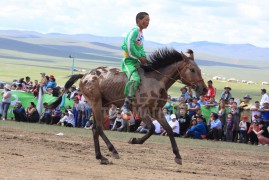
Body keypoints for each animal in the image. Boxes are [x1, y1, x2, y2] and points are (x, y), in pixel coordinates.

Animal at [48, 47, 207, 165]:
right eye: (192, 70)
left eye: (199, 70)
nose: (204, 89)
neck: (156, 81)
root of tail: (85, 75)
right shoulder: (141, 111)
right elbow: (151, 129)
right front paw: (134, 140)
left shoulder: (156, 111)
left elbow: (168, 129)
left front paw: (177, 156)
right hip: (97, 103)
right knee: (98, 127)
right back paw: (111, 151)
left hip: (104, 105)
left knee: (95, 128)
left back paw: (101, 156)